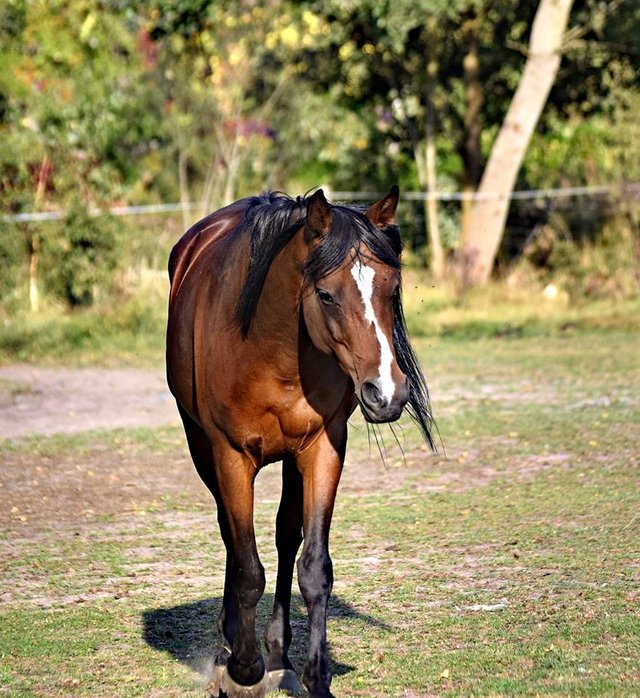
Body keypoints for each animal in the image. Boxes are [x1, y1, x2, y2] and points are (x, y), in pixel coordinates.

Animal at [166, 186, 436, 696]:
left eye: (392, 289)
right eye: (326, 294)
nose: (387, 393)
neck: (269, 351)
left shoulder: (323, 448)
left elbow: (313, 567)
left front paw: (315, 676)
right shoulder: (230, 457)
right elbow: (247, 567)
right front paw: (243, 668)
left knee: (286, 535)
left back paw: (277, 654)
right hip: (201, 450)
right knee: (231, 536)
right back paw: (231, 647)